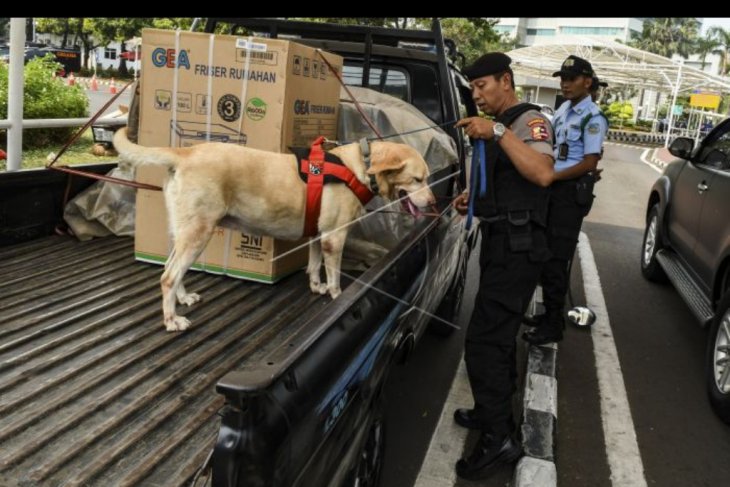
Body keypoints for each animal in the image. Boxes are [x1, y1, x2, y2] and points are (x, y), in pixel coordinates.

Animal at [113, 129, 432, 332]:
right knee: (168, 276)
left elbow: (314, 264)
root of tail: (186, 152)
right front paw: (336, 294)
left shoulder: (319, 234)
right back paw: (172, 320)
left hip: (185, 232)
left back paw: (182, 299)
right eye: (417, 179)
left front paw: (316, 285)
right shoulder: (334, 237)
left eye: (427, 178)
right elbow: (334, 276)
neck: (361, 167)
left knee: (171, 268)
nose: (433, 202)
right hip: (198, 232)